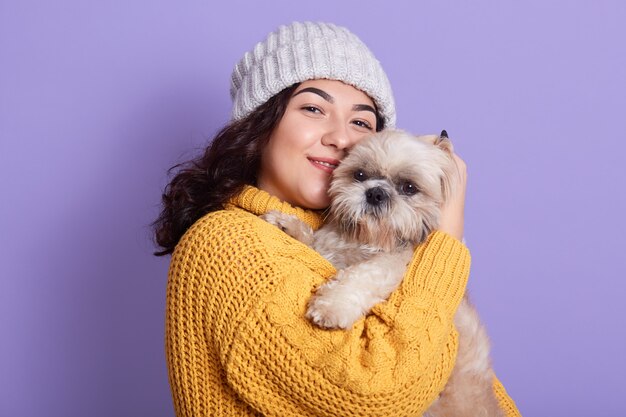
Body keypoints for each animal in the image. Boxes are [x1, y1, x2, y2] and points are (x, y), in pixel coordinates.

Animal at [264, 128, 502, 414]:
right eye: (360, 175)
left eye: (409, 187)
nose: (375, 193)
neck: (369, 240)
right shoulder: (333, 248)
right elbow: (316, 244)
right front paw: (288, 225)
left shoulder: (392, 264)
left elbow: (362, 277)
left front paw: (332, 306)